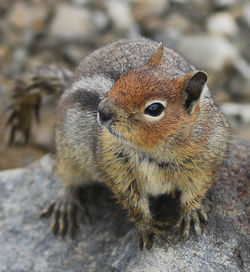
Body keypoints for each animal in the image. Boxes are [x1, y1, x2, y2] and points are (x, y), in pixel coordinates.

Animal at [5, 38, 229, 251]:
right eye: (121, 81)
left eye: (154, 109)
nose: (102, 111)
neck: (153, 150)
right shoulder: (116, 169)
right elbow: (133, 202)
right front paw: (146, 225)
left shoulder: (208, 160)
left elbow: (196, 190)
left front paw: (191, 213)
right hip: (66, 150)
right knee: (66, 178)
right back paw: (65, 203)